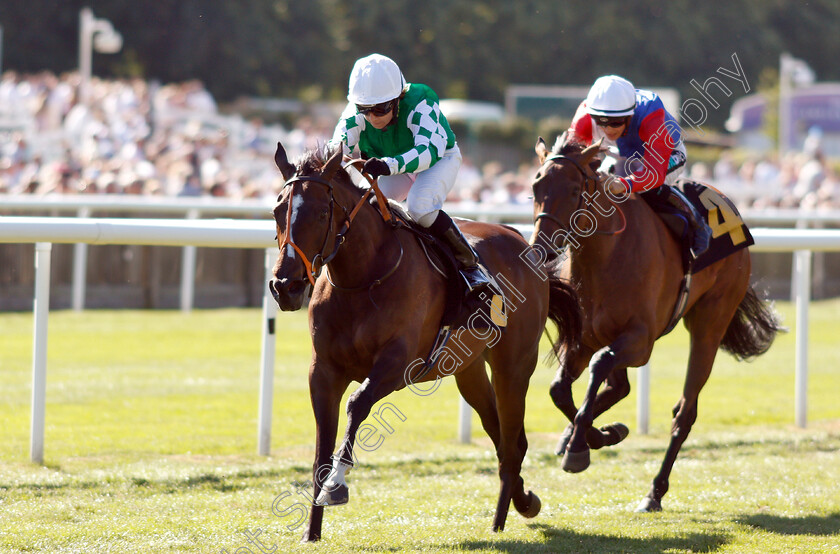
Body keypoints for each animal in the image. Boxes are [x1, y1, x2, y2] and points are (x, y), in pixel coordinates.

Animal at [270, 142, 584, 540]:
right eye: (277, 211)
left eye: (322, 211)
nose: (285, 285)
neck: (364, 276)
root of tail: (526, 247)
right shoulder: (323, 372)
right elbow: (320, 451)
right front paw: (311, 532)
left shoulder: (398, 364)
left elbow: (357, 404)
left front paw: (337, 485)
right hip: (469, 370)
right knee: (501, 435)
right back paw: (525, 501)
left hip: (514, 366)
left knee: (513, 441)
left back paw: (500, 520)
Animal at [528, 137, 784, 508]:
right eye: (535, 187)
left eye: (575, 189)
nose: (541, 247)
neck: (605, 256)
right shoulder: (583, 338)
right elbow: (560, 390)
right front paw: (594, 436)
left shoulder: (640, 340)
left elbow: (599, 365)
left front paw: (580, 445)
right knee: (618, 387)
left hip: (710, 321)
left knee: (684, 412)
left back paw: (654, 491)